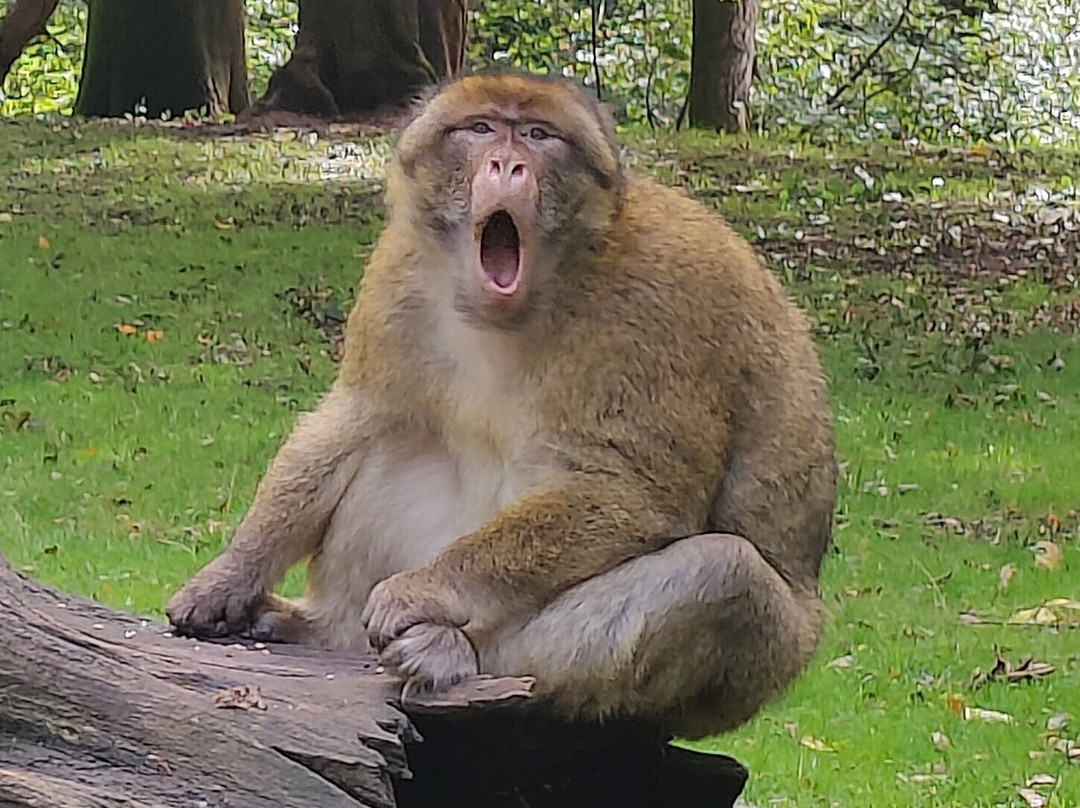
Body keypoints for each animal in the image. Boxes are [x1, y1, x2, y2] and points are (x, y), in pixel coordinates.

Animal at [166, 71, 836, 740]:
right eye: (482, 128)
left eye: (539, 136)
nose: (507, 164)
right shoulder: (399, 269)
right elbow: (358, 415)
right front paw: (229, 574)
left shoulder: (660, 302)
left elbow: (635, 492)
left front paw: (422, 592)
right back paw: (322, 629)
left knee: (727, 575)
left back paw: (457, 654)